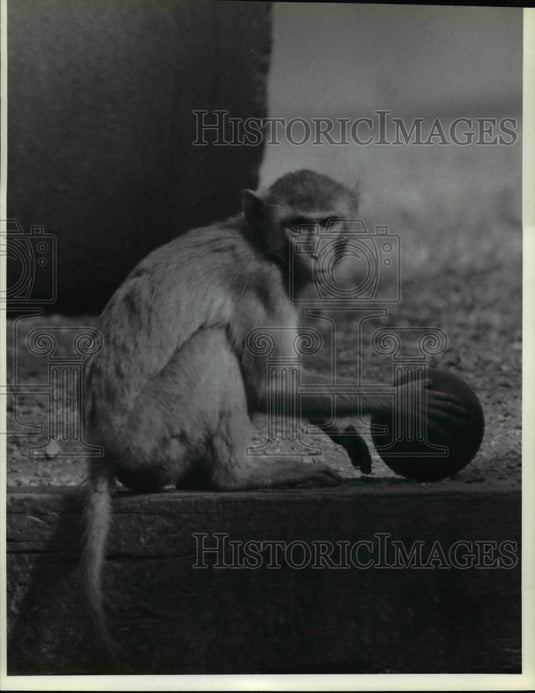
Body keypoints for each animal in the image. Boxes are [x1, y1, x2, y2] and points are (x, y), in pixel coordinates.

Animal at [82, 169, 468, 655]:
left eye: (326, 222)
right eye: (297, 225)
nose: (314, 250)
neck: (262, 243)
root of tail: (101, 446)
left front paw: (343, 429)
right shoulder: (263, 282)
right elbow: (271, 385)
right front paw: (405, 401)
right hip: (149, 433)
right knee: (214, 344)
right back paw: (237, 476)